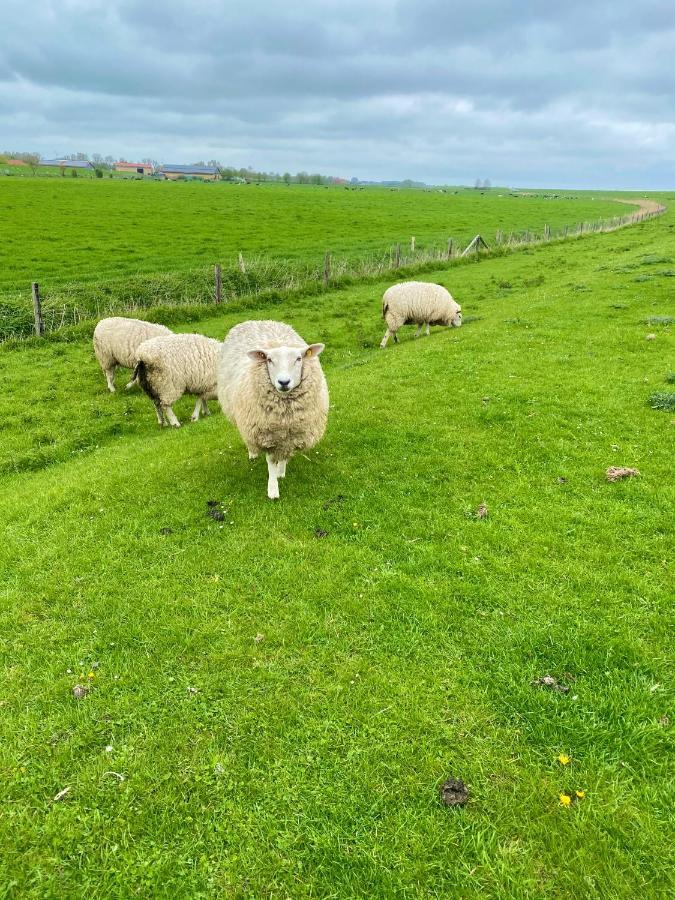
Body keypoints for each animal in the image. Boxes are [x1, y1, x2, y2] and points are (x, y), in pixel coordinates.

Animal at [218, 320, 328, 500]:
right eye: (269, 360)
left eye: (299, 358)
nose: (284, 382)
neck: (285, 417)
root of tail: (256, 321)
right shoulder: (267, 435)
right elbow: (270, 462)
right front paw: (273, 488)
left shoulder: (291, 435)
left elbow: (284, 454)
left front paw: (281, 472)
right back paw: (252, 453)